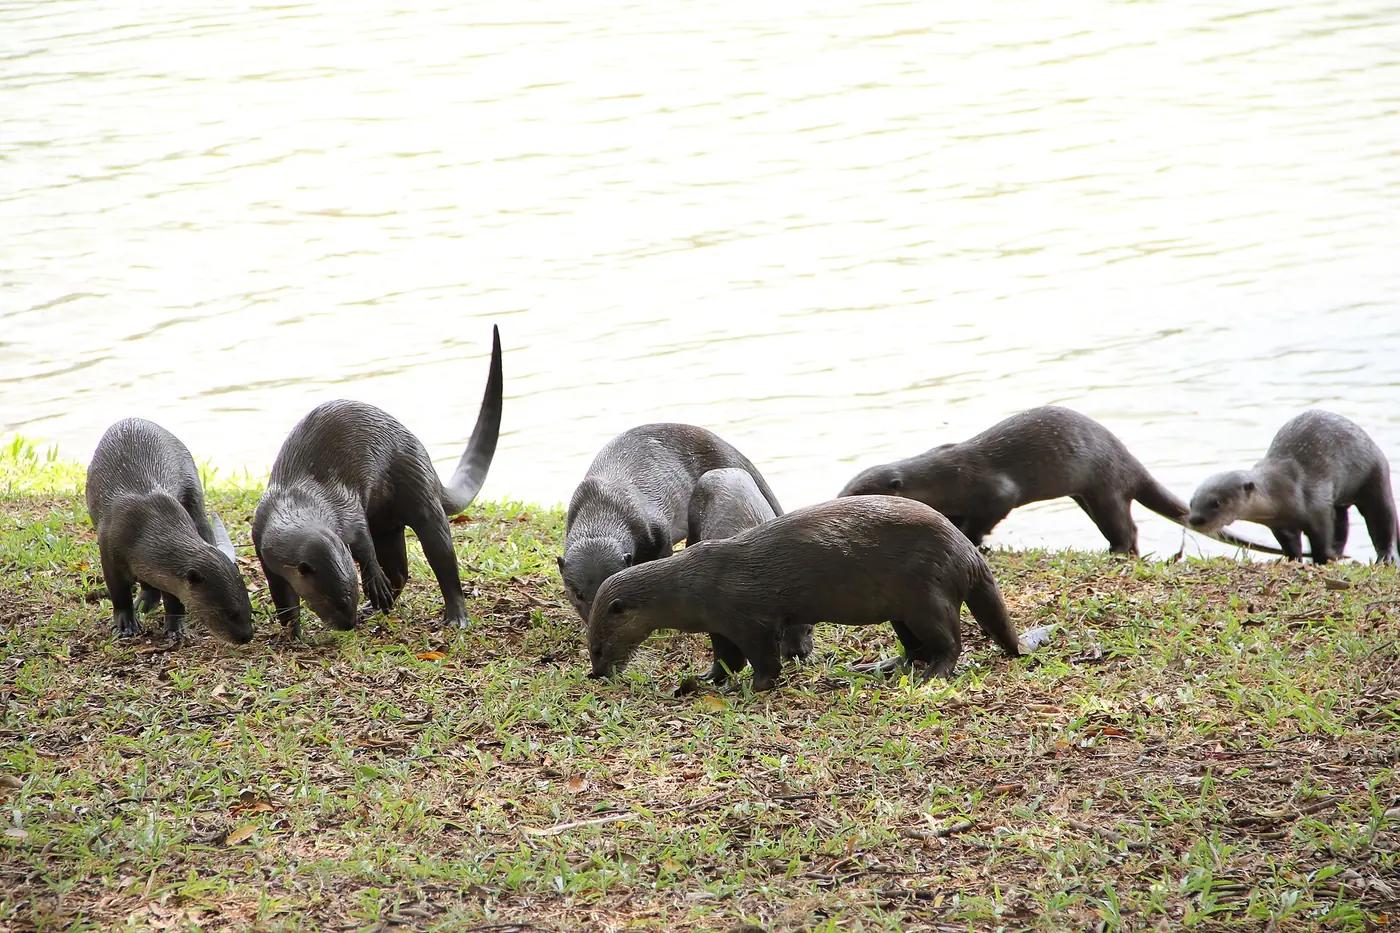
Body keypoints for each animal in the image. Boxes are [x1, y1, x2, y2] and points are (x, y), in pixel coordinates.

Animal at [85, 418, 253, 643]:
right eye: (230, 613)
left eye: (249, 609)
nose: (247, 636)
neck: (143, 529)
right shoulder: (109, 553)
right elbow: (119, 594)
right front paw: (125, 625)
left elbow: (173, 599)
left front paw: (176, 629)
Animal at [253, 326, 502, 635]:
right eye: (333, 599)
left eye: (351, 593)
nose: (348, 624)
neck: (296, 501)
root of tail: (424, 456)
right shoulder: (262, 547)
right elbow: (282, 596)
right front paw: (293, 631)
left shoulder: (347, 508)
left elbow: (364, 545)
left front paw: (372, 580)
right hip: (387, 524)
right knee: (400, 571)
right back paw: (377, 607)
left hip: (418, 489)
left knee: (442, 557)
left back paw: (455, 616)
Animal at [587, 496, 1026, 692]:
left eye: (597, 646)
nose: (597, 672)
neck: (694, 585)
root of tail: (966, 550)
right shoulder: (720, 625)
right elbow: (725, 659)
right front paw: (706, 679)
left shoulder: (749, 618)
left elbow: (763, 659)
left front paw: (751, 686)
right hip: (902, 609)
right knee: (913, 647)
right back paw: (881, 666)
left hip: (927, 596)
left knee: (951, 642)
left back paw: (933, 674)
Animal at [839, 405, 1286, 556]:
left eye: (854, 492)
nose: (835, 497)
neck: (947, 478)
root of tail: (1128, 459)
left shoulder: (993, 491)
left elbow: (985, 517)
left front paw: (975, 538)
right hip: (1086, 494)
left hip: (1105, 485)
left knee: (1127, 527)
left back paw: (1117, 552)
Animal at [1188, 410, 1397, 565]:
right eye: (1192, 503)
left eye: (1217, 502)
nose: (1195, 519)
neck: (1283, 490)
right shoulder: (1279, 525)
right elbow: (1290, 545)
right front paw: (1293, 560)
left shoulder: (1318, 507)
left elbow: (1321, 539)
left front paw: (1320, 560)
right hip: (1340, 501)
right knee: (1341, 523)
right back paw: (1338, 552)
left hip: (1375, 475)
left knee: (1383, 519)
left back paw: (1386, 557)